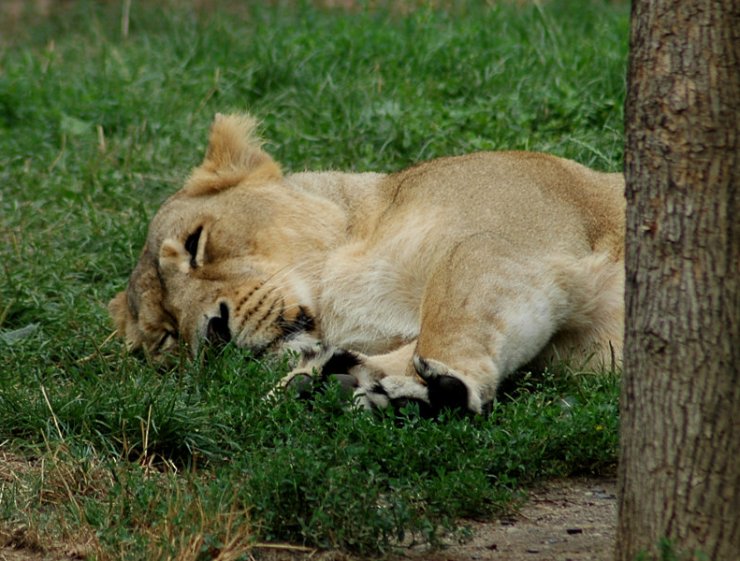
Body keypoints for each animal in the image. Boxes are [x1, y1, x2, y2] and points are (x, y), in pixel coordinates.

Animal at [108, 112, 624, 416]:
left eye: (196, 243)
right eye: (167, 336)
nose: (213, 332)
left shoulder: (508, 242)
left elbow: (449, 318)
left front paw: (430, 387)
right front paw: (327, 380)